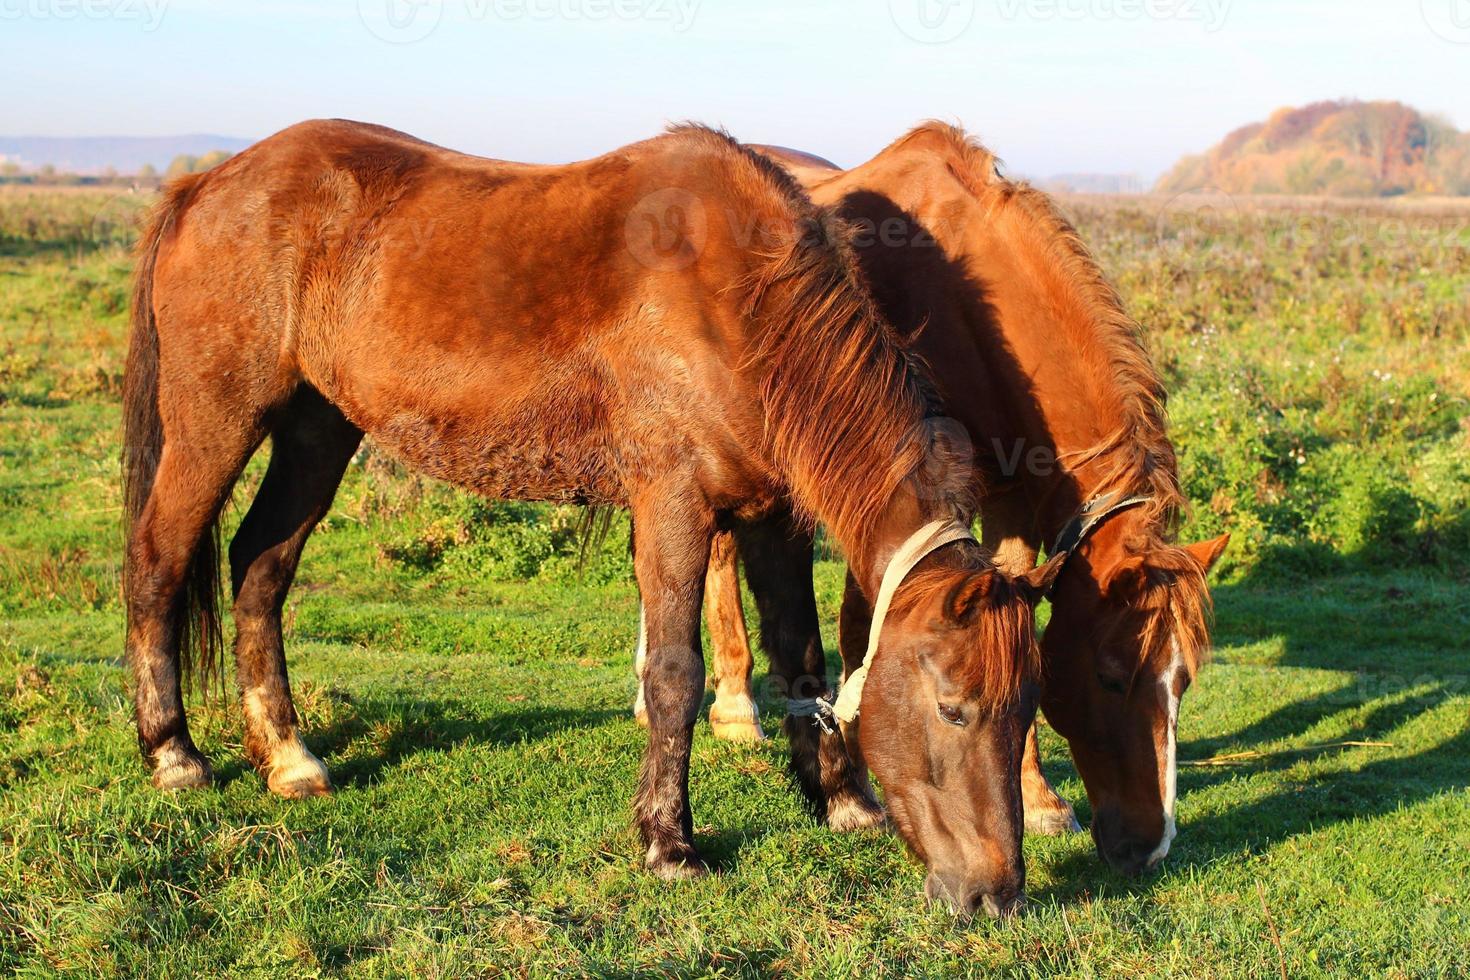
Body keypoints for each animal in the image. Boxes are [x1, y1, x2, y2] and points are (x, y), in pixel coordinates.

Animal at [117, 120, 1058, 910]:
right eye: (954, 707)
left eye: (1026, 711)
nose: (997, 895)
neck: (737, 304)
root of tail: (205, 185)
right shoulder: (674, 505)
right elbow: (674, 674)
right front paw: (670, 842)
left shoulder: (774, 518)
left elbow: (803, 659)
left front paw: (838, 801)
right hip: (216, 422)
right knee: (159, 561)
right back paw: (174, 754)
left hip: (319, 426)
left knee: (260, 567)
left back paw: (287, 755)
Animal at [632, 120, 1228, 875]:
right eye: (1114, 674)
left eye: (1183, 683)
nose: (1152, 846)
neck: (965, 306)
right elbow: (864, 626)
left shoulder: (1008, 499)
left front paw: (1036, 799)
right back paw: (733, 706)